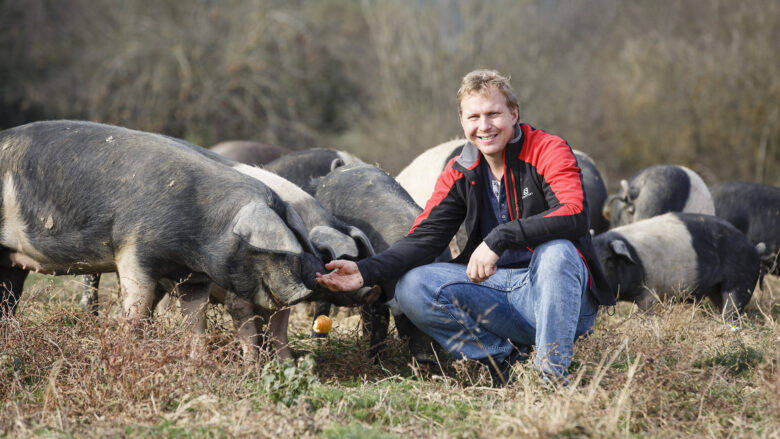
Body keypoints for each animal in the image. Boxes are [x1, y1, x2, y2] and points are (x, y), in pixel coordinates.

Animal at [310, 163, 448, 362]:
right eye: (408, 314)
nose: (427, 358)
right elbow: (380, 322)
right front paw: (374, 361)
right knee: (323, 305)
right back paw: (317, 343)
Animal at [596, 212, 760, 320]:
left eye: (607, 259)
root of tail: (754, 248)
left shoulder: (649, 291)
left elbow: (647, 312)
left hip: (740, 282)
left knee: (733, 307)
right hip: (715, 290)